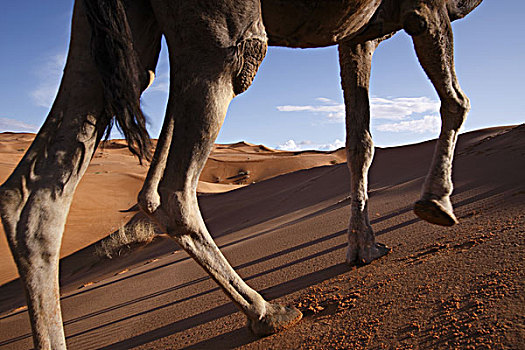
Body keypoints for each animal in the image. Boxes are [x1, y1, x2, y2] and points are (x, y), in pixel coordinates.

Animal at [0, 0, 482, 348]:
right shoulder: (423, 8)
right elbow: (456, 102)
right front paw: (436, 202)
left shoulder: (358, 35)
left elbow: (359, 141)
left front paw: (363, 246)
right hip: (220, 33)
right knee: (177, 189)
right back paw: (266, 312)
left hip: (107, 34)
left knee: (34, 197)